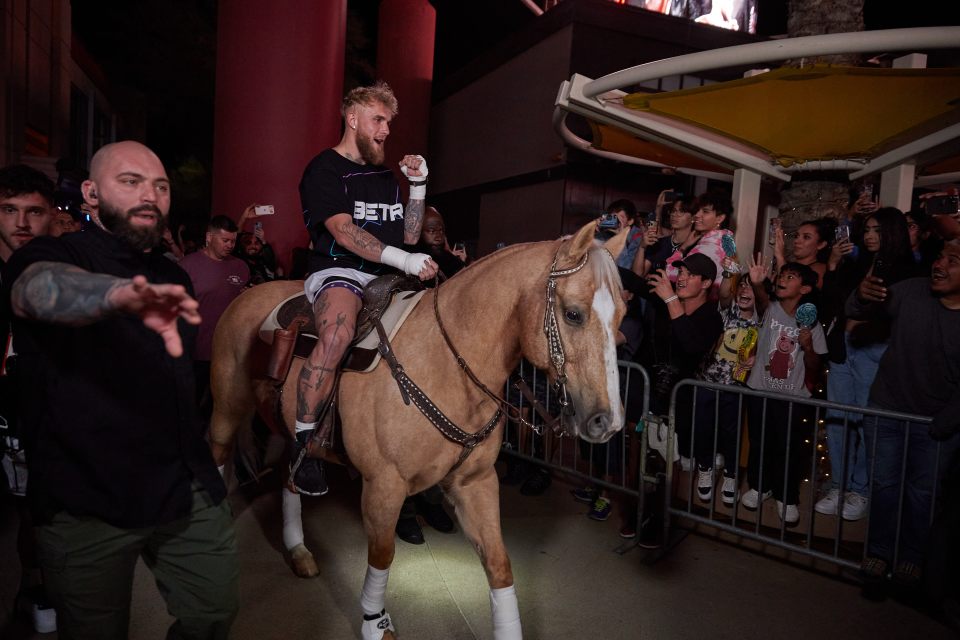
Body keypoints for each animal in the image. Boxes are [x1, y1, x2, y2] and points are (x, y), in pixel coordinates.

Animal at [209, 222, 628, 636]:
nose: (607, 422)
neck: (446, 363)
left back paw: (298, 549)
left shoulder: (475, 484)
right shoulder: (383, 487)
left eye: (622, 317)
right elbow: (383, 555)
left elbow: (499, 565)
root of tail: (249, 293)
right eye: (573, 314)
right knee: (219, 454)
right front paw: (375, 623)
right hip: (228, 411)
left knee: (290, 475)